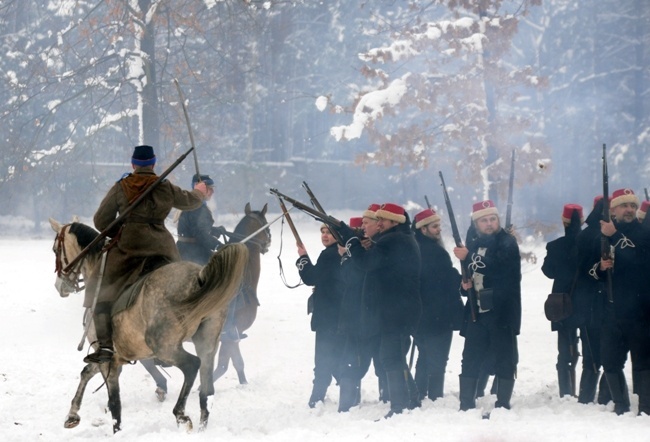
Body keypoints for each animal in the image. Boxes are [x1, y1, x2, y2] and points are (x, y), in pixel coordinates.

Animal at [50, 218, 247, 432]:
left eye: (55, 249)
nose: (59, 286)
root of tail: (199, 277)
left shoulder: (107, 359)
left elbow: (114, 403)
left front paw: (116, 430)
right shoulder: (113, 357)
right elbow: (86, 373)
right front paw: (72, 415)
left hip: (164, 346)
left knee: (192, 365)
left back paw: (180, 414)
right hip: (207, 343)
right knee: (207, 390)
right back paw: (201, 427)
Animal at [214, 203, 270, 384]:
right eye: (265, 224)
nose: (268, 243)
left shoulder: (229, 338)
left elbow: (232, 364)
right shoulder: (232, 335)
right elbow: (227, 365)